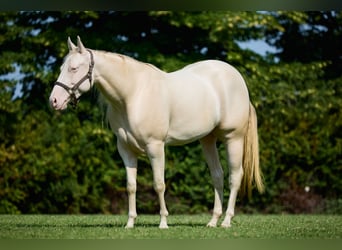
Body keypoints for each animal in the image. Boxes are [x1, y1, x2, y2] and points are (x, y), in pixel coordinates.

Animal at [49, 36, 264, 229]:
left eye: (74, 68)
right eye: (61, 68)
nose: (54, 101)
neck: (133, 95)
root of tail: (236, 77)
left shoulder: (156, 147)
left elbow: (159, 184)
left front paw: (163, 223)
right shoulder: (125, 150)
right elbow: (131, 186)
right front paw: (130, 223)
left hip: (233, 138)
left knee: (235, 177)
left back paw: (226, 221)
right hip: (207, 140)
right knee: (217, 176)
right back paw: (213, 221)